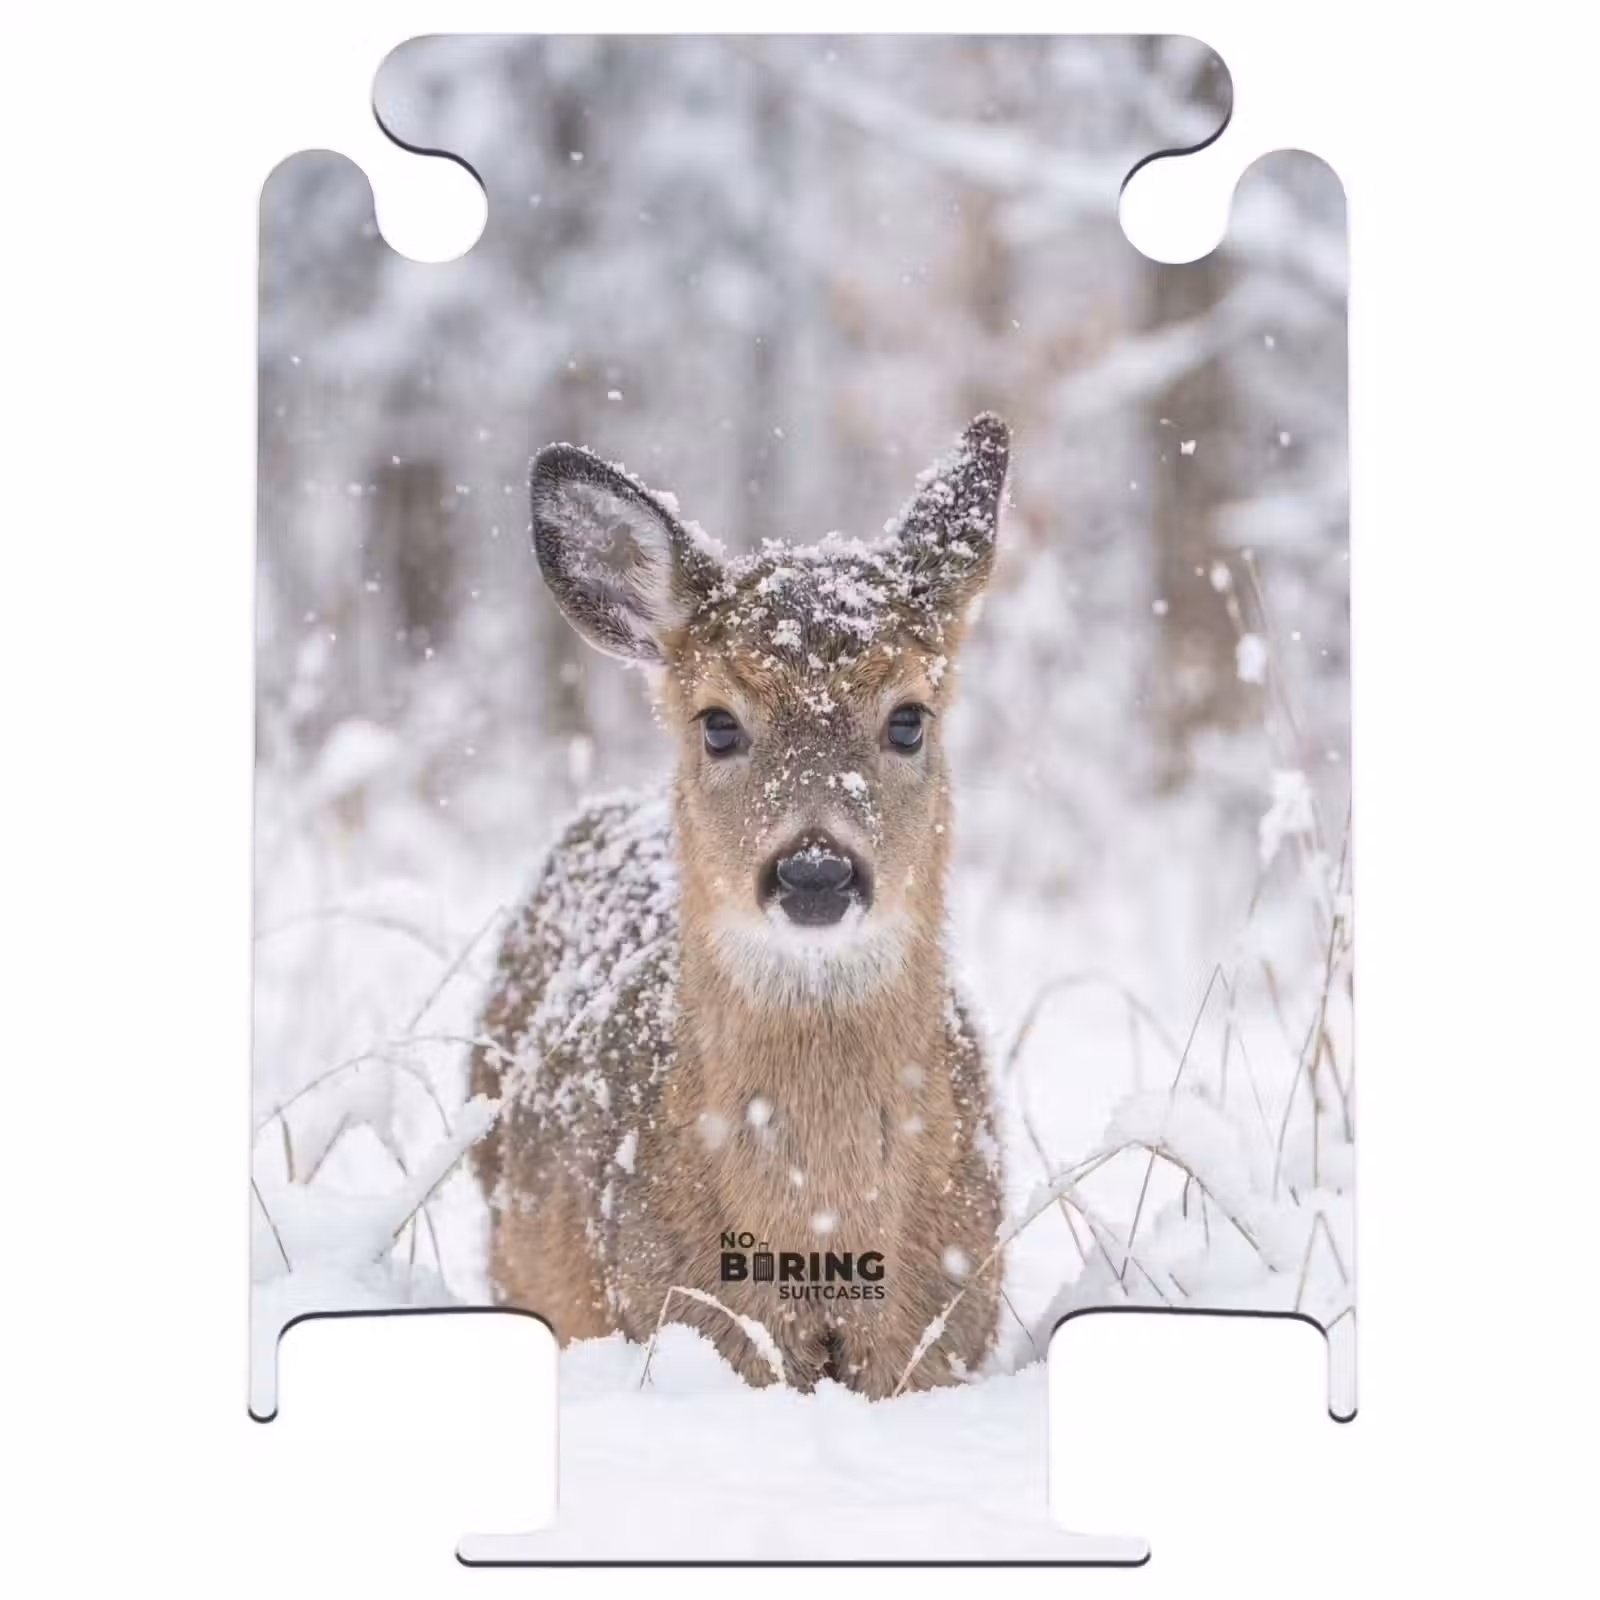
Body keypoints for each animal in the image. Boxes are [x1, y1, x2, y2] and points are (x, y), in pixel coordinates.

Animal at [469, 414, 1011, 1398]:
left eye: (909, 717)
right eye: (719, 722)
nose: (815, 872)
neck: (822, 1238)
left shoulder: (949, 1329)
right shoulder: (677, 1313)